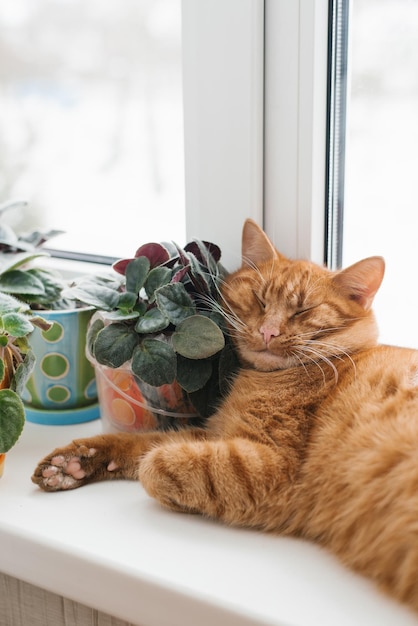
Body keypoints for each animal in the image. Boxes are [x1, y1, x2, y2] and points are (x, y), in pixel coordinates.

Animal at [31, 217, 418, 612]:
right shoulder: (218, 435)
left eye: (302, 311)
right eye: (260, 300)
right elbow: (142, 442)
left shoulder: (267, 465)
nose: (268, 331)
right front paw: (75, 463)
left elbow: (155, 463)